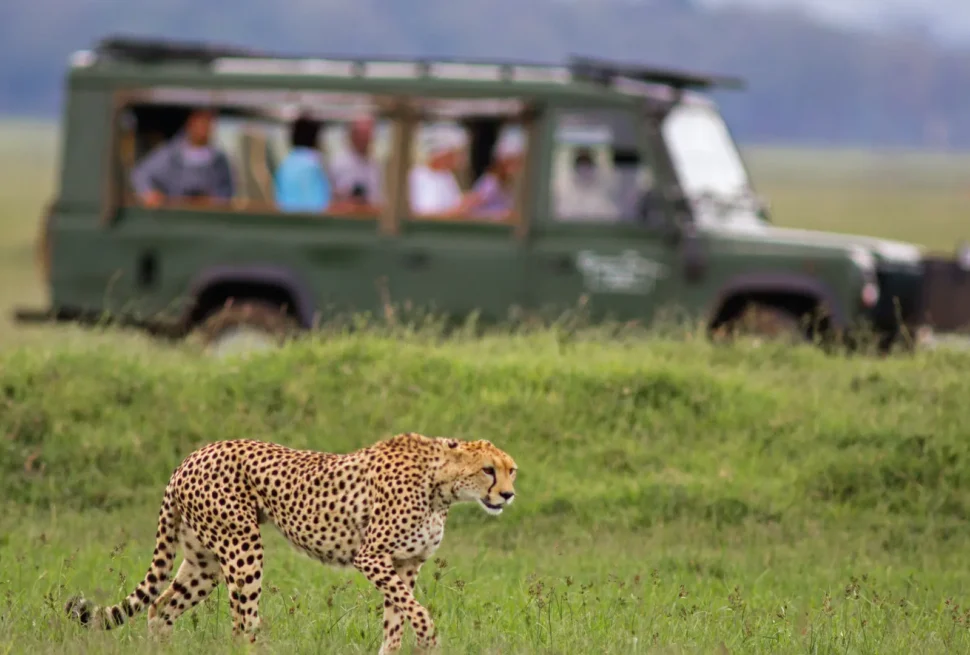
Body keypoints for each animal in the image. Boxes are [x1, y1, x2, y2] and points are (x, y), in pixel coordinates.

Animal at [64, 434, 520, 652]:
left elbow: (396, 622)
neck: (442, 485)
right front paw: (429, 640)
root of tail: (191, 457)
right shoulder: (372, 557)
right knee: (241, 625)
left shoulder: (404, 566)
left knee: (160, 609)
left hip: (204, 561)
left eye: (511, 470)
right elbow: (418, 614)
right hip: (243, 547)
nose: (508, 495)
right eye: (488, 470)